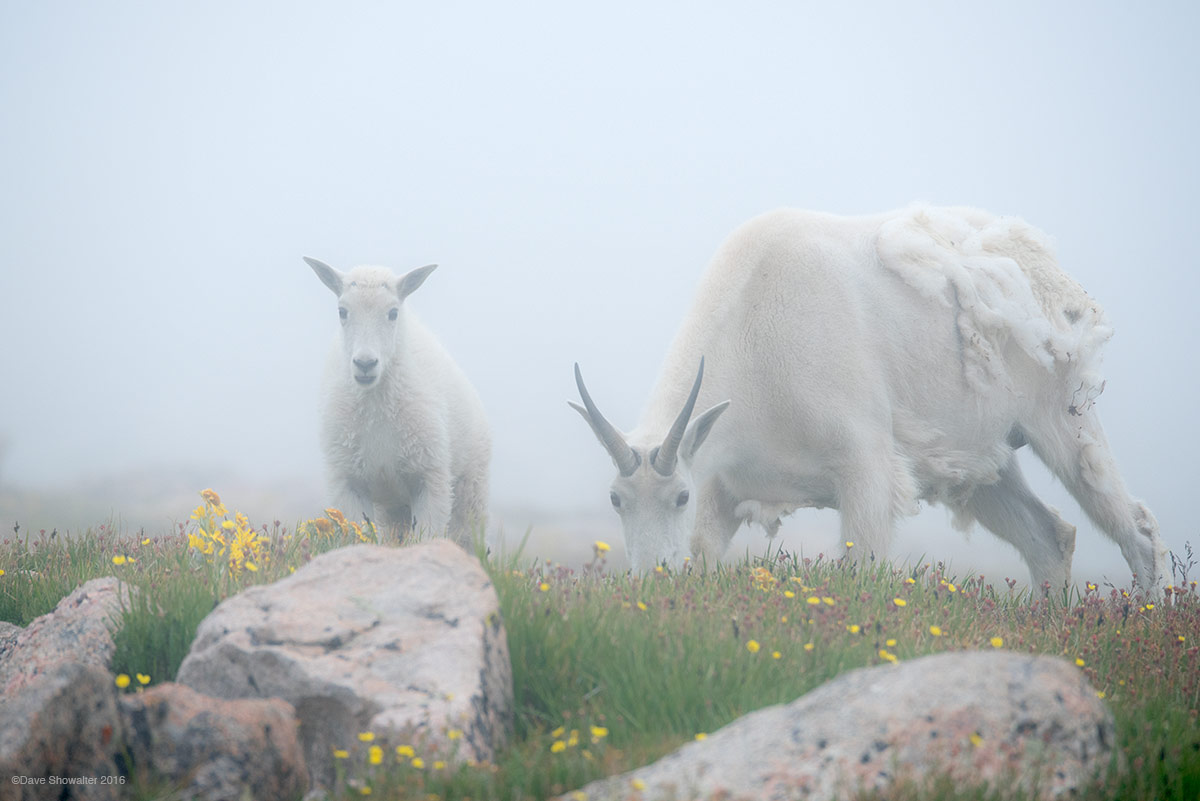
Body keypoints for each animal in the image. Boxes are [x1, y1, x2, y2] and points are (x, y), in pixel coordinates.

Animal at [307, 256, 489, 544]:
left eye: (393, 312)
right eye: (342, 311)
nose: (365, 364)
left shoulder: (430, 477)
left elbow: (427, 539)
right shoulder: (348, 481)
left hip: (470, 487)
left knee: (469, 538)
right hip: (393, 508)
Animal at [576, 205, 1166, 594]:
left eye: (679, 496)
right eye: (615, 500)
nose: (651, 579)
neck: (751, 334)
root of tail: (1059, 280)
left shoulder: (865, 468)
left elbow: (866, 567)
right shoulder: (724, 486)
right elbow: (704, 552)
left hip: (1063, 415)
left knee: (1134, 527)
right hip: (982, 459)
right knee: (1049, 537)